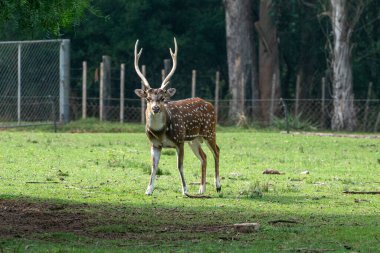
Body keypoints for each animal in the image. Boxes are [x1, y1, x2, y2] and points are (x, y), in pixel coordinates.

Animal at [135, 38, 221, 196]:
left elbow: (179, 166)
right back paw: (201, 189)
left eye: (162, 98)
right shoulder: (154, 144)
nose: (155, 108)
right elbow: (153, 166)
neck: (160, 133)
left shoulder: (179, 141)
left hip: (209, 131)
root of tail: (210, 104)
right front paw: (148, 190)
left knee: (216, 151)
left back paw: (218, 186)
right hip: (194, 140)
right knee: (204, 156)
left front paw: (185, 190)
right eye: (148, 98)